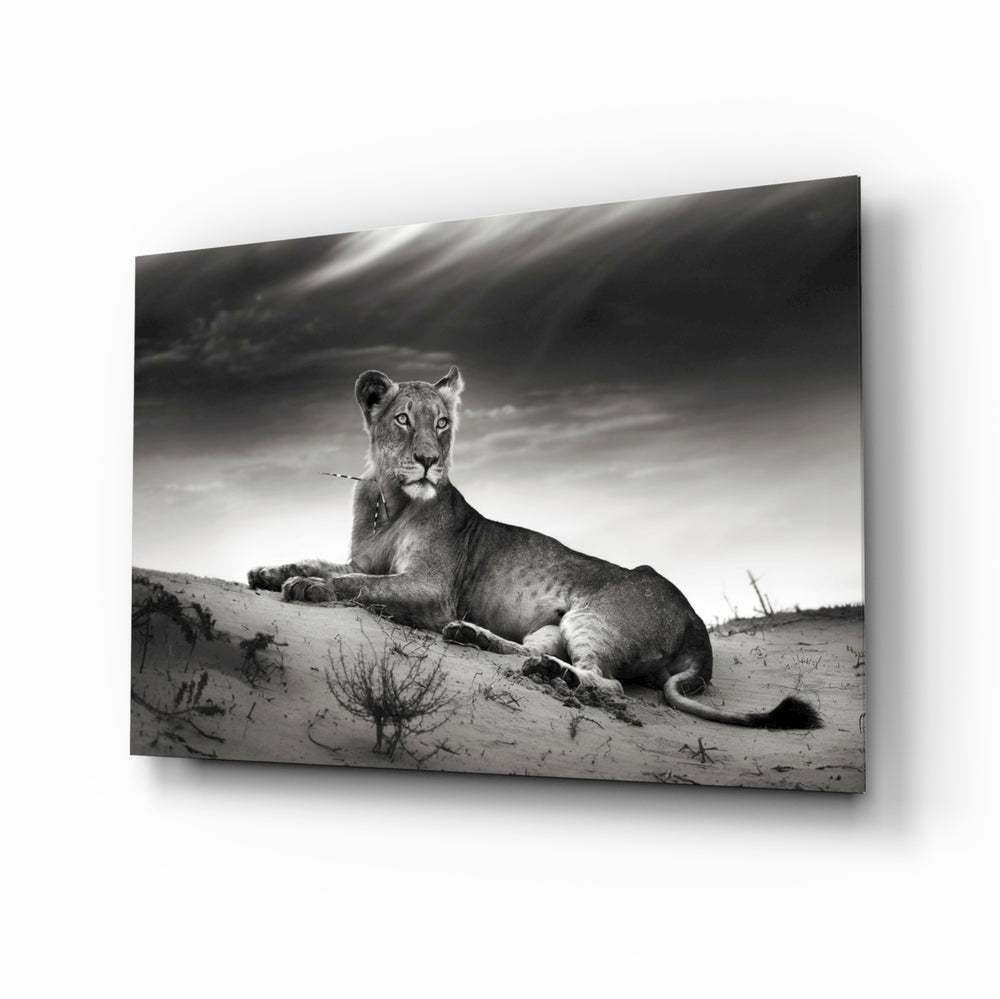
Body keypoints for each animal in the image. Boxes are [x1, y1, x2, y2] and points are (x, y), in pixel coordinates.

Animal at [248, 366, 821, 729]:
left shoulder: (432, 590)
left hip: (593, 618)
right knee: (531, 650)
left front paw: (306, 587)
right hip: (552, 625)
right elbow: (329, 563)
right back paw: (476, 638)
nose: (430, 461)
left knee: (605, 683)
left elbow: (356, 584)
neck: (389, 499)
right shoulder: (364, 558)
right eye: (402, 419)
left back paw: (547, 672)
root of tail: (697, 622)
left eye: (442, 423)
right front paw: (270, 572)